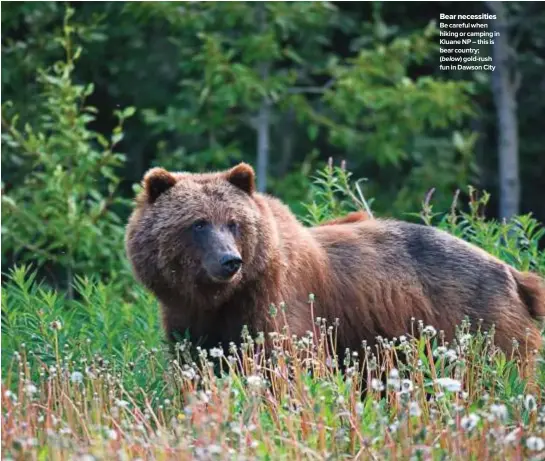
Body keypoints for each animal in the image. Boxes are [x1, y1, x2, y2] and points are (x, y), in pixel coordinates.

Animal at [124, 162, 544, 360]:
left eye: (234, 222)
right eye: (198, 223)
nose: (230, 261)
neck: (221, 298)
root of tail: (512, 271)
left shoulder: (276, 302)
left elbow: (284, 359)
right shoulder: (189, 319)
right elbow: (200, 363)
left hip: (476, 320)